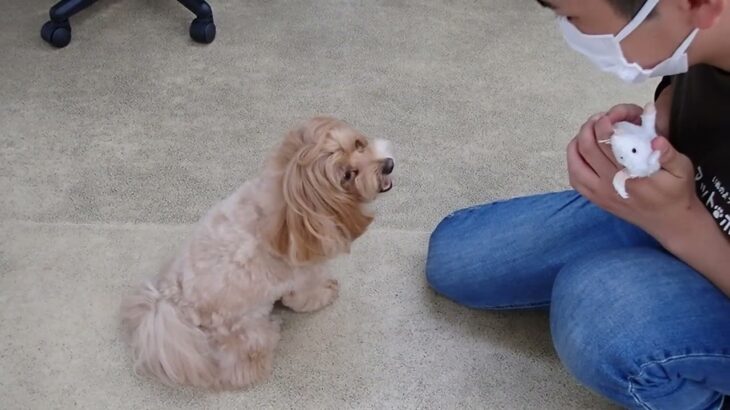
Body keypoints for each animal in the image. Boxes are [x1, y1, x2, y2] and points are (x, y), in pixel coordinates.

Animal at [119, 117, 392, 390]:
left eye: (358, 145)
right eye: (348, 175)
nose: (388, 165)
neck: (289, 203)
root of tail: (176, 303)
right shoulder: (303, 277)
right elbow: (307, 296)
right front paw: (326, 291)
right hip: (245, 329)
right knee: (241, 364)